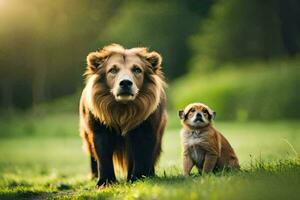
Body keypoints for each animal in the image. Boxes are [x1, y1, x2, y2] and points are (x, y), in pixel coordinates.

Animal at [79, 43, 168, 188]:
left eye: (137, 69)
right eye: (113, 70)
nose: (125, 82)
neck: (123, 110)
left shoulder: (145, 128)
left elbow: (142, 154)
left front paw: (138, 178)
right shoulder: (99, 129)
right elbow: (103, 155)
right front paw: (105, 182)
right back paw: (93, 176)